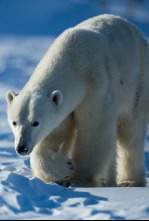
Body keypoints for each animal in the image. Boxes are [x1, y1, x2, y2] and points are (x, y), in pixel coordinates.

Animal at [6, 14, 149, 186]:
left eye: (35, 123)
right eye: (14, 122)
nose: (22, 148)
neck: (74, 60)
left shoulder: (97, 84)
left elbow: (95, 128)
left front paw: (79, 179)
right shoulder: (64, 105)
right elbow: (56, 133)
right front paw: (64, 168)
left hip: (138, 82)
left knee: (131, 134)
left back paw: (129, 181)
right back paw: (109, 180)